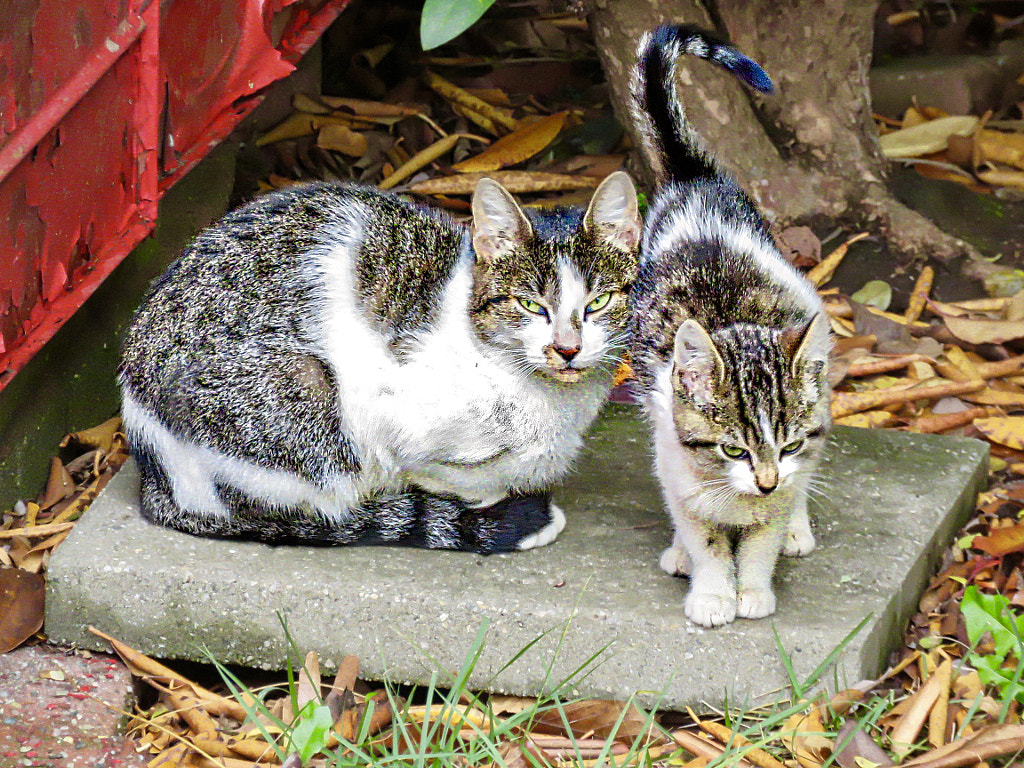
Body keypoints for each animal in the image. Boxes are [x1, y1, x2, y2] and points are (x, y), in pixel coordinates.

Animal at [119, 173, 638, 552]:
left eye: (600, 302)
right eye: (531, 306)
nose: (567, 348)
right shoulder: (392, 423)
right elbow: (442, 475)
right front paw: (482, 505)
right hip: (311, 396)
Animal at [622, 24, 831, 626]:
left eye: (786, 444)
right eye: (733, 450)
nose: (765, 480)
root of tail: (697, 179)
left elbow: (764, 534)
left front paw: (754, 589)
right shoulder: (678, 457)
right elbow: (704, 535)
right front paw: (713, 591)